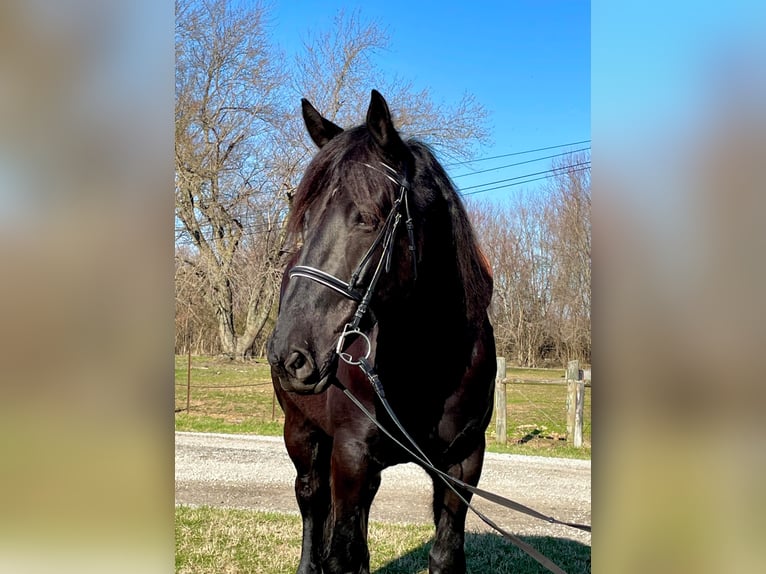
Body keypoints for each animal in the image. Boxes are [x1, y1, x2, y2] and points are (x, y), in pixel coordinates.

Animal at [270, 90, 498, 574]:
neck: (428, 363)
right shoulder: (351, 457)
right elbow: (341, 555)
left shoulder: (463, 465)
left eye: (369, 217)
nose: (289, 356)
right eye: (305, 218)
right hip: (301, 432)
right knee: (311, 503)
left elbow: (446, 553)